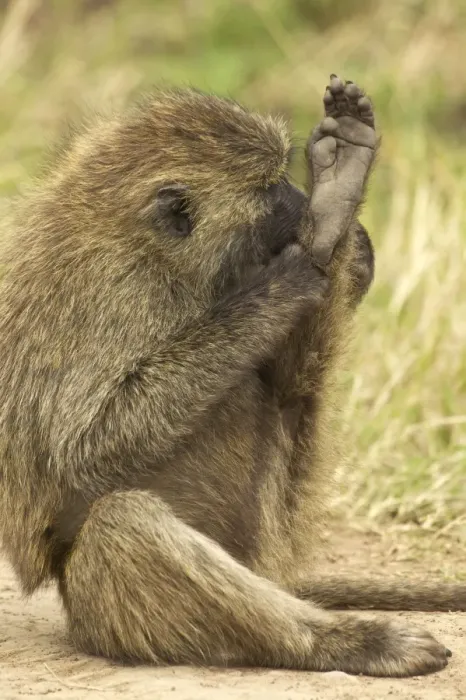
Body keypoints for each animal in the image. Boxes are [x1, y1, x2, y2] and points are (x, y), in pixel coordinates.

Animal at [0, 74, 464, 678]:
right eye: (270, 190)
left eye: (283, 178)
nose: (301, 204)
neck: (153, 252)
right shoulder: (108, 296)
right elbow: (85, 448)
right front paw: (296, 267)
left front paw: (334, 214)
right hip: (107, 612)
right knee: (124, 523)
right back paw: (355, 643)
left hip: (268, 533)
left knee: (284, 392)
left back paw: (337, 204)